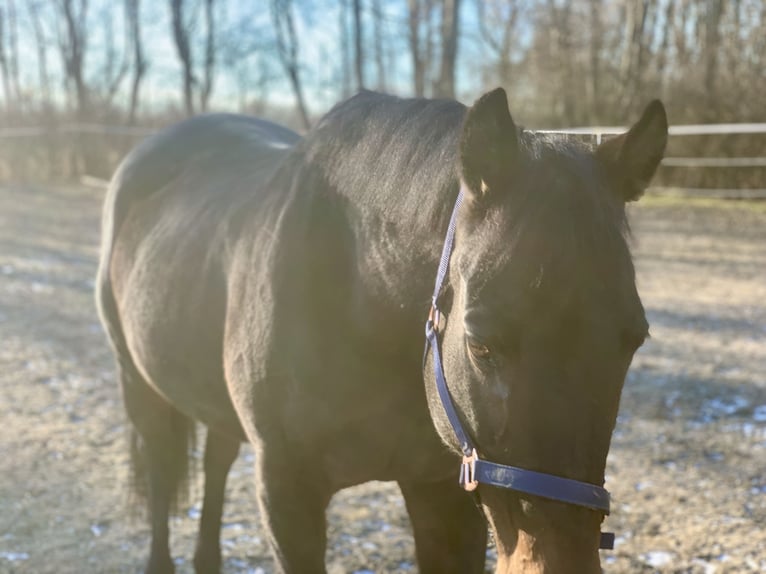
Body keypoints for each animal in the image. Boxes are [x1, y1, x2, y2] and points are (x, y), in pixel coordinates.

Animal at [96, 87, 667, 573]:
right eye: (480, 344)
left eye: (633, 340)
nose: (559, 561)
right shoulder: (287, 492)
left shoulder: (440, 492)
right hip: (136, 383)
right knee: (161, 472)